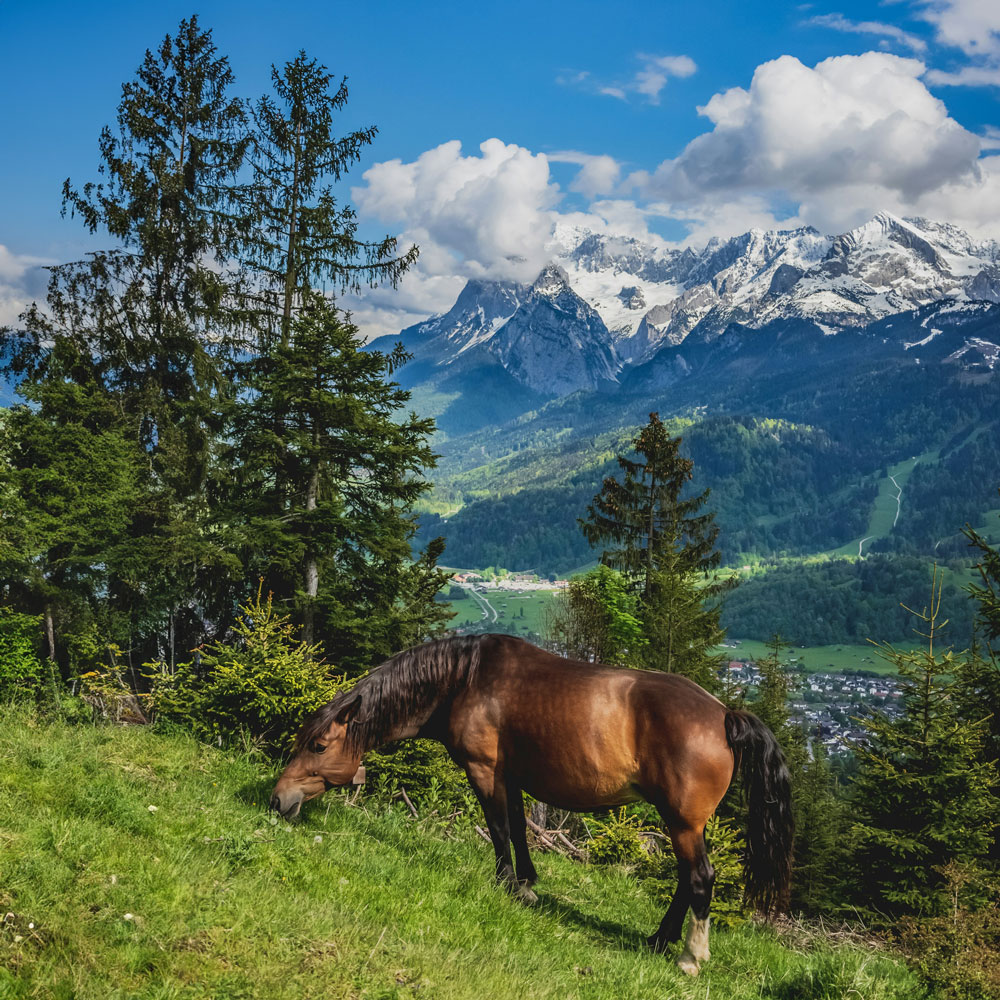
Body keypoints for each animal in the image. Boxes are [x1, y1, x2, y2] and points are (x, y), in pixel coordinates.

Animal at [270, 636, 792, 972]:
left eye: (318, 745)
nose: (278, 799)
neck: (464, 678)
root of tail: (724, 715)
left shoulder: (485, 770)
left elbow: (499, 829)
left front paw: (506, 885)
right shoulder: (512, 776)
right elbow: (520, 830)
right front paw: (526, 885)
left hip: (682, 822)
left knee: (700, 878)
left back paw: (689, 957)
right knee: (686, 879)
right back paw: (657, 940)